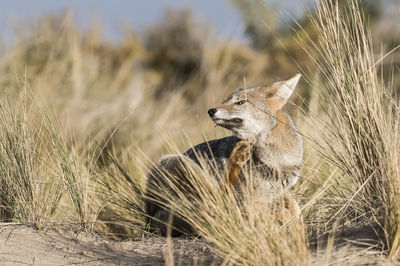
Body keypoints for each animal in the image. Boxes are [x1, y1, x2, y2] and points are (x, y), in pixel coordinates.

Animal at [145, 72, 302, 235]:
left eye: (240, 102)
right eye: (225, 101)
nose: (211, 110)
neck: (278, 161)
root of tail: (149, 219)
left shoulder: (276, 193)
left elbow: (295, 206)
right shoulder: (250, 199)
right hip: (181, 163)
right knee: (220, 202)